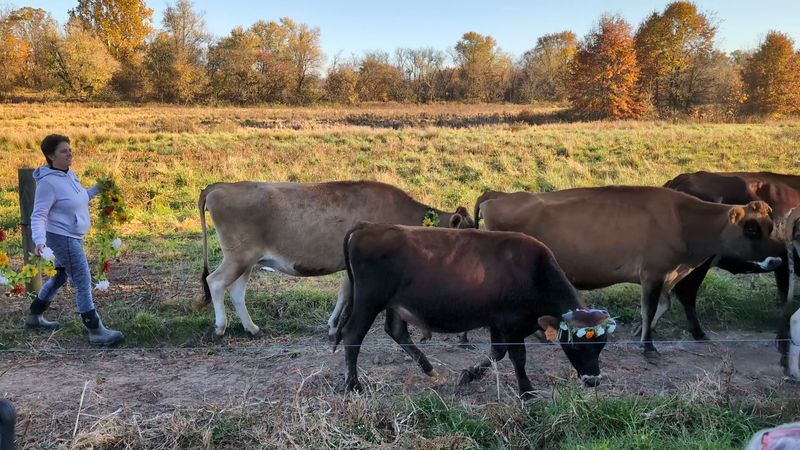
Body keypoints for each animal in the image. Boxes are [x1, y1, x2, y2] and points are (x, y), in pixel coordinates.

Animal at [196, 180, 473, 338]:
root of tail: (218, 186)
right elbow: (350, 294)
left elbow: (343, 293)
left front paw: (332, 325)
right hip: (239, 257)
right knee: (216, 282)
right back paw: (220, 327)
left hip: (246, 261)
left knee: (236, 291)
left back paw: (251, 328)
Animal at [334, 223, 616, 397]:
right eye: (575, 345)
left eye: (600, 345)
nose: (593, 380)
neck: (533, 272)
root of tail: (367, 226)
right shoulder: (511, 323)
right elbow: (518, 357)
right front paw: (527, 392)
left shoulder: (498, 322)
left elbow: (497, 353)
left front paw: (469, 374)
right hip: (369, 301)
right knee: (353, 335)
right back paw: (353, 384)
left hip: (394, 303)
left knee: (396, 331)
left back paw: (428, 368)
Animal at [475, 186, 785, 357]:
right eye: (751, 228)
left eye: (771, 226)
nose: (777, 260)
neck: (684, 221)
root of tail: (496, 195)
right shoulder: (653, 274)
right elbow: (650, 308)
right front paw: (648, 347)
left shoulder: (667, 276)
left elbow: (661, 305)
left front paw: (640, 331)